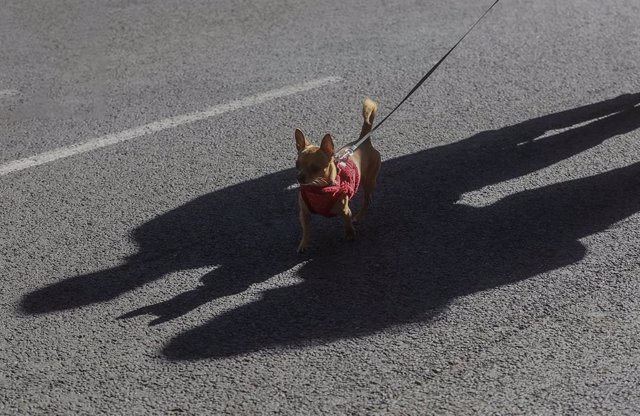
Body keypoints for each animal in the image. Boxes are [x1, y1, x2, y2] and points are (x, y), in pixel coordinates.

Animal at [296, 98, 380, 252]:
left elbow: (347, 223)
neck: (319, 189)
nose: (299, 178)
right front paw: (304, 244)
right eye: (297, 164)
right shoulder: (304, 213)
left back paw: (359, 217)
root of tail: (363, 141)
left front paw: (350, 234)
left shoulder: (345, 210)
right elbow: (306, 230)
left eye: (315, 168)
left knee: (367, 200)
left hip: (369, 181)